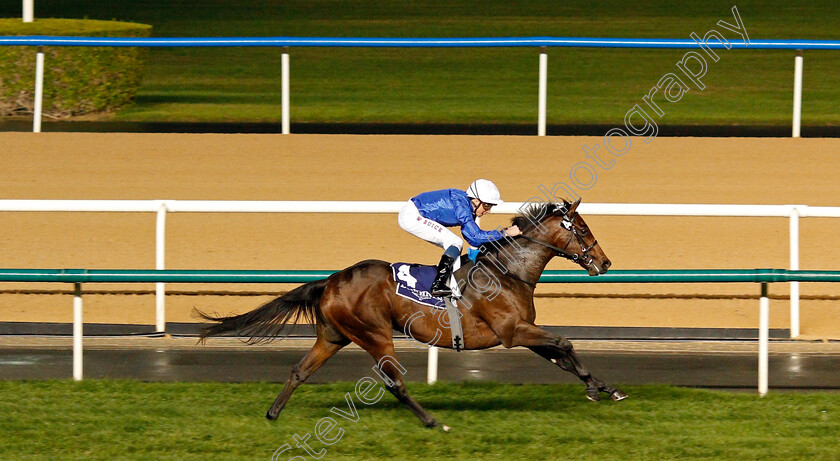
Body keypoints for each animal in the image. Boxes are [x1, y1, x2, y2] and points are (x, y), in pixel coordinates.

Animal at [197, 198, 628, 428]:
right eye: (582, 228)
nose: (605, 262)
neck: (509, 271)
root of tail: (332, 280)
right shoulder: (512, 330)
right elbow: (565, 343)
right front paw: (597, 388)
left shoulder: (523, 328)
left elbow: (561, 355)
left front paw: (605, 387)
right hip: (374, 334)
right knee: (394, 383)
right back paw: (432, 420)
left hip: (334, 335)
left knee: (300, 371)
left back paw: (273, 413)